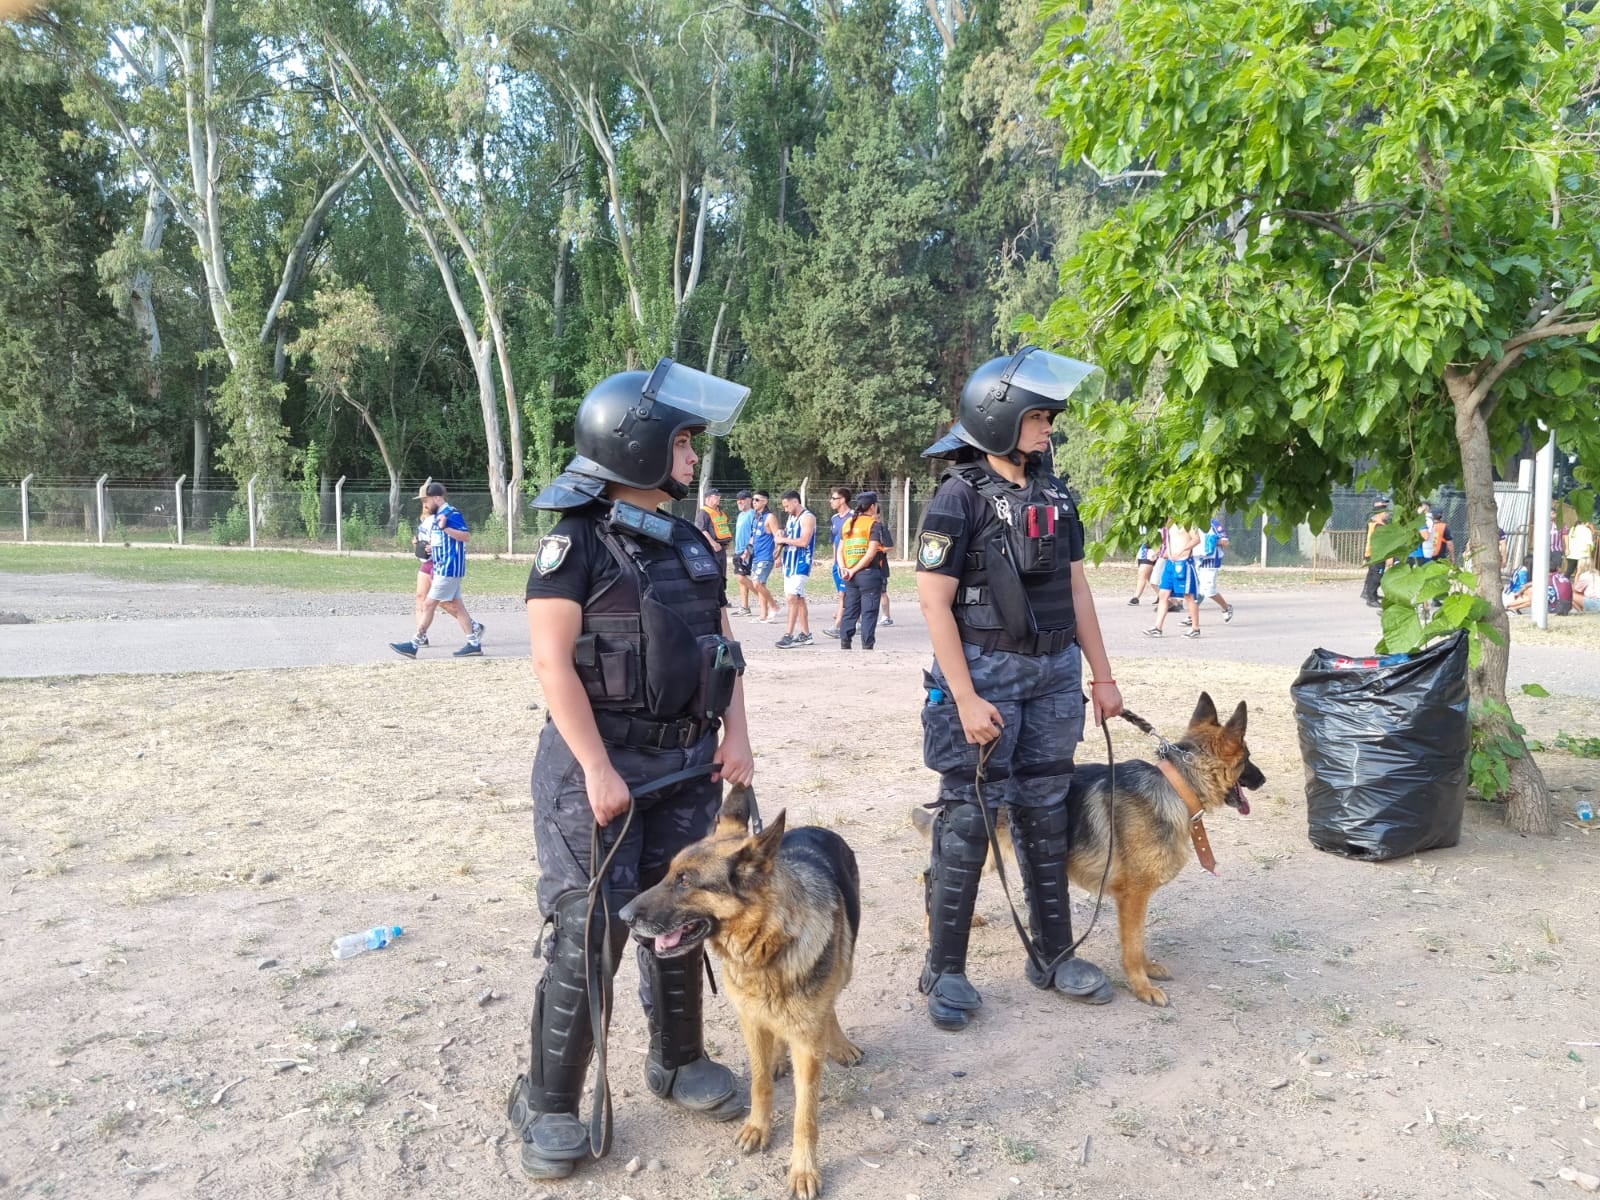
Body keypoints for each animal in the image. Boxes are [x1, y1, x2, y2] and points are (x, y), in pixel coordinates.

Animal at [617, 790, 864, 1200]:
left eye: (685, 881)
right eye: (669, 873)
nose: (622, 915)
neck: (765, 944)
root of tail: (818, 829)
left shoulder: (807, 1041)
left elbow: (805, 1115)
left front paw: (803, 1169)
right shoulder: (750, 1020)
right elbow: (760, 1082)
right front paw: (758, 1127)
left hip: (843, 969)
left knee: (829, 1004)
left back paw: (839, 1043)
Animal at [921, 694, 1267, 1017]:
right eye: (1248, 758)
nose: (1263, 779)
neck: (1177, 785)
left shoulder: (1135, 898)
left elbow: (1139, 939)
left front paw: (1148, 969)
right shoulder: (1133, 895)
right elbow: (1132, 944)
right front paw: (1142, 987)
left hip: (994, 852)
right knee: (932, 875)